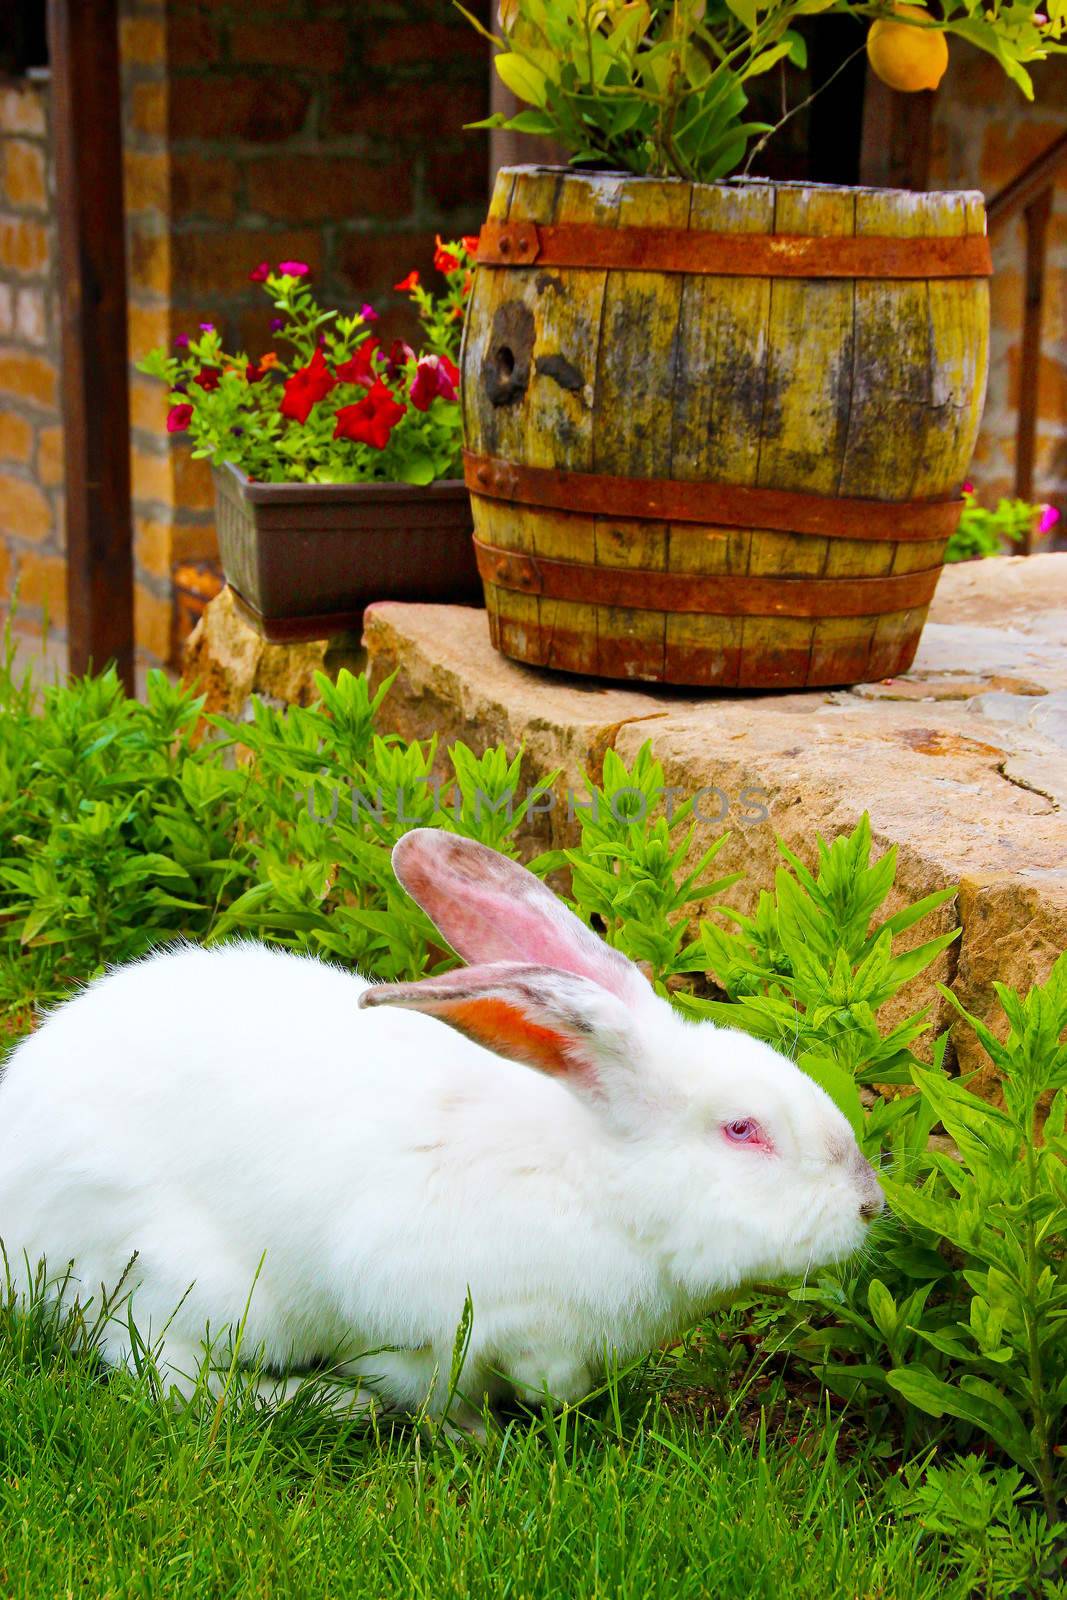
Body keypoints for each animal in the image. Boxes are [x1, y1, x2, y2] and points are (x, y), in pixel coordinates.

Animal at [0, 832, 883, 1420]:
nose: (869, 1206)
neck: (595, 1180)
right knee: (163, 1372)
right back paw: (323, 1402)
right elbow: (448, 1383)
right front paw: (478, 1432)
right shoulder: (451, 1315)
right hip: (189, 1283)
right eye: (742, 1130)